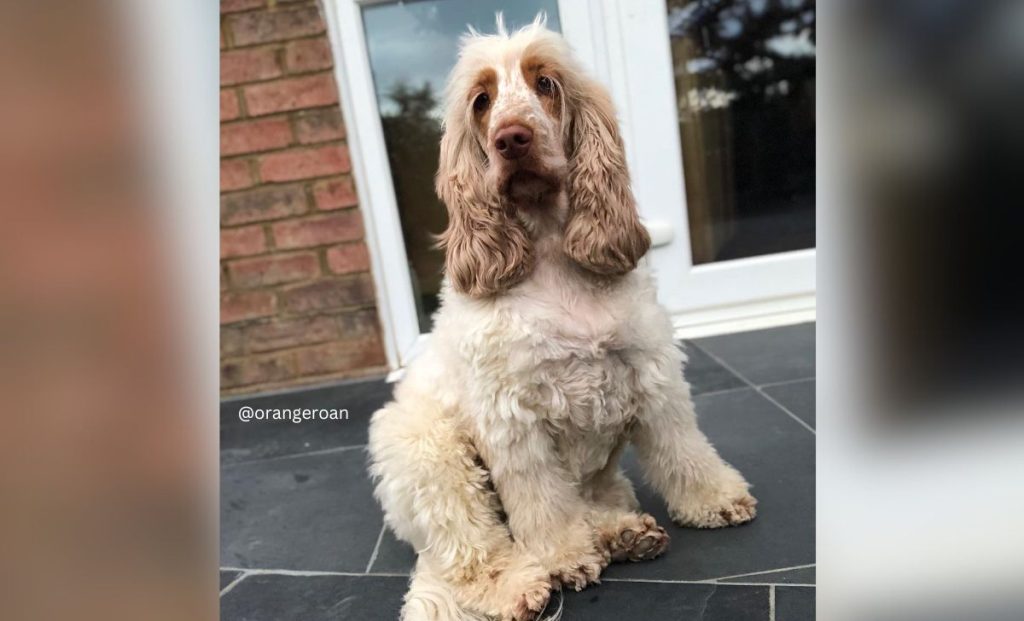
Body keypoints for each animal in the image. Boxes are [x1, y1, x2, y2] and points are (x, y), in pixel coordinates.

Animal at [366, 15, 753, 621]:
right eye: (482, 101)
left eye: (544, 83)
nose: (511, 138)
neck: (549, 247)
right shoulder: (513, 419)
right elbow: (542, 505)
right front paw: (564, 557)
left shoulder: (653, 375)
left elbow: (683, 449)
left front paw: (716, 498)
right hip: (426, 452)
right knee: (469, 549)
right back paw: (520, 584)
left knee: (593, 502)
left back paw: (624, 534)